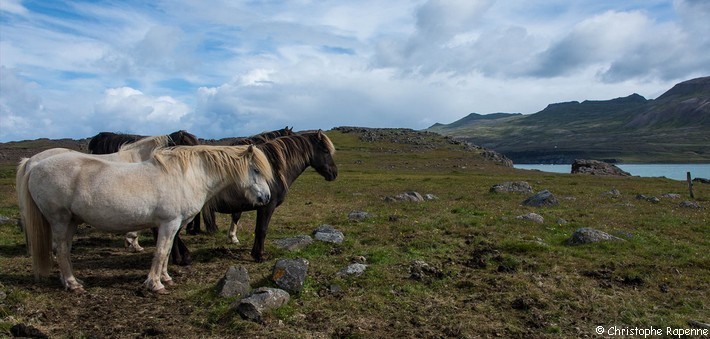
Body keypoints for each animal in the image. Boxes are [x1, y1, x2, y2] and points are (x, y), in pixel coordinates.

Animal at [17, 145, 272, 294]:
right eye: (256, 170)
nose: (266, 197)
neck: (187, 176)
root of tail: (34, 164)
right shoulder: (169, 223)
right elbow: (160, 252)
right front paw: (155, 284)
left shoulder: (172, 226)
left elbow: (167, 252)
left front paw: (166, 278)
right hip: (60, 220)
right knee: (61, 250)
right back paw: (73, 284)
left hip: (70, 221)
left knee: (63, 250)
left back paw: (68, 280)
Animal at [173, 130, 340, 262]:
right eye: (325, 151)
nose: (334, 173)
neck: (273, 170)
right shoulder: (267, 206)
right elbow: (261, 230)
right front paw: (259, 255)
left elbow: (249, 224)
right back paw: (181, 258)